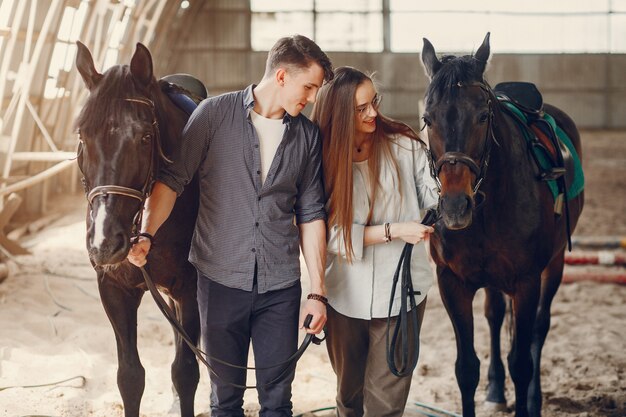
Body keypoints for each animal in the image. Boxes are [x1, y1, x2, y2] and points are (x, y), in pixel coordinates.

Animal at [73, 42, 201, 416]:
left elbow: (186, 371)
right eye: (82, 135)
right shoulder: (114, 288)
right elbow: (130, 377)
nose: (105, 243)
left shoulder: (190, 287)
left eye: (145, 136)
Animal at [416, 33, 584, 416]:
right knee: (494, 317)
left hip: (554, 265)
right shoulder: (452, 282)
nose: (454, 206)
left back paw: (534, 399)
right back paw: (495, 390)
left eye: (482, 116)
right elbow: (466, 368)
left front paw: (526, 399)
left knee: (539, 328)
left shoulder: (526, 281)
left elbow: (521, 362)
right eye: (427, 119)